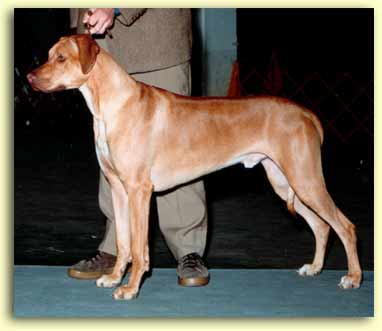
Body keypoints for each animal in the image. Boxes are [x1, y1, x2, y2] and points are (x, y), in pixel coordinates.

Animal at [27, 35, 364, 300]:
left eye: (61, 58)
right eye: (48, 55)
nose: (29, 78)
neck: (113, 105)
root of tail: (307, 113)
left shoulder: (139, 191)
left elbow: (138, 247)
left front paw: (131, 288)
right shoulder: (119, 189)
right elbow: (123, 242)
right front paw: (113, 277)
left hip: (306, 180)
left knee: (345, 226)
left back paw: (354, 278)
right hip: (285, 182)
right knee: (322, 226)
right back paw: (315, 268)